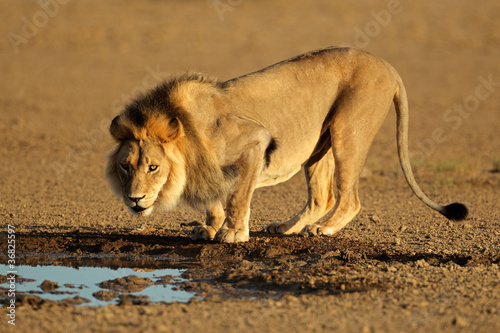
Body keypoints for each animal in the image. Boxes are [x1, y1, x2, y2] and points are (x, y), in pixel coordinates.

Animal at [106, 46, 468, 243]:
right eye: (125, 166)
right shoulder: (209, 170)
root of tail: (387, 64)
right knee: (322, 197)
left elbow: (238, 198)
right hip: (319, 145)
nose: (134, 199)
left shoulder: (255, 140)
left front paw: (232, 233)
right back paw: (288, 227)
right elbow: (215, 201)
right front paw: (209, 228)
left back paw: (323, 230)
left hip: (348, 131)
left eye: (153, 167)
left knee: (349, 199)